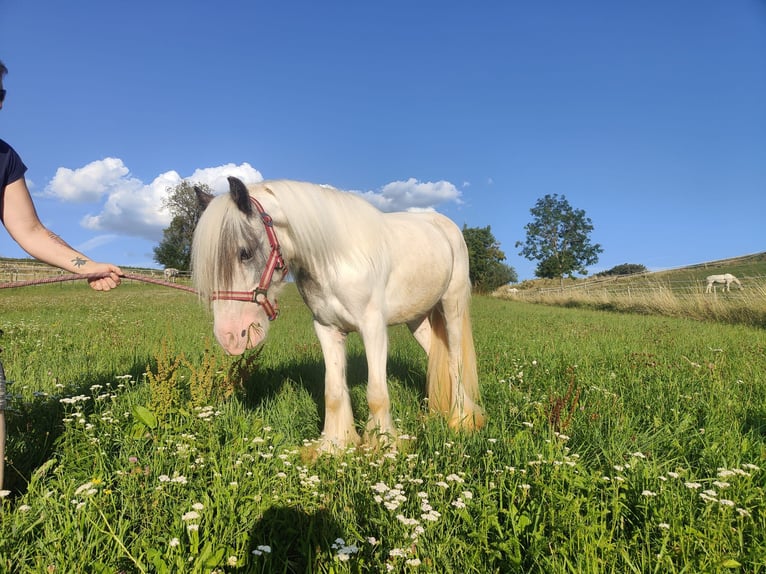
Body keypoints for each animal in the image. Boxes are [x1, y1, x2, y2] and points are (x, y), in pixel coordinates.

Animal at [190, 178, 486, 452]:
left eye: (245, 253)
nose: (230, 337)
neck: (335, 258)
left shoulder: (373, 328)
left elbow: (376, 394)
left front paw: (383, 447)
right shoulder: (327, 328)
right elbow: (332, 392)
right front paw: (335, 445)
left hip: (452, 305)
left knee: (455, 361)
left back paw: (461, 420)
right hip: (417, 318)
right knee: (437, 355)